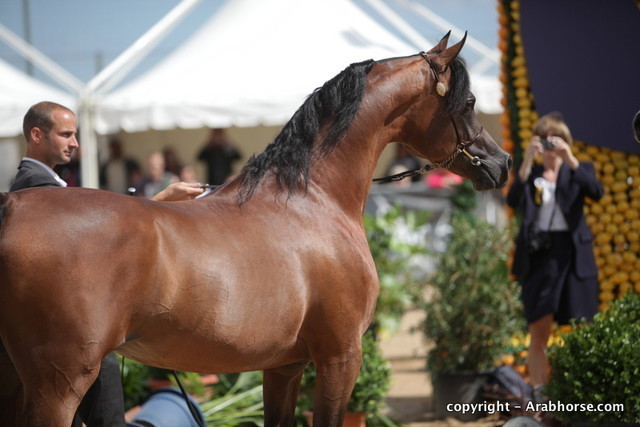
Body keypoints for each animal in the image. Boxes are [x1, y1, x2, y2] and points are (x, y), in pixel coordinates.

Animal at [0, 33, 511, 426]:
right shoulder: (340, 358)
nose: (502, 163)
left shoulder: (282, 366)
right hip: (60, 386)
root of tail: (12, 207)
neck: (311, 199)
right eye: (468, 102)